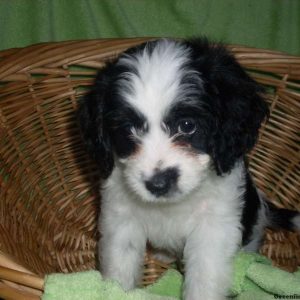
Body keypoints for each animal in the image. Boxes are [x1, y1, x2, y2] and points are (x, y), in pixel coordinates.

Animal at [79, 38, 300, 298]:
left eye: (187, 125)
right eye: (128, 129)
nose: (158, 184)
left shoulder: (213, 229)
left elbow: (204, 279)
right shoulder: (121, 219)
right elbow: (119, 267)